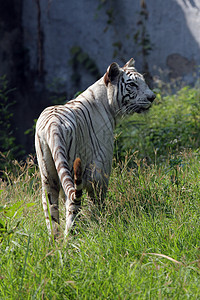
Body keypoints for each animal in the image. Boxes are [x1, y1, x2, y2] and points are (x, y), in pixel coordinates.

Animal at [35, 58, 155, 237]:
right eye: (133, 84)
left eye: (144, 81)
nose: (152, 97)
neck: (108, 105)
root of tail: (53, 124)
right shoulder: (100, 171)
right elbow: (98, 202)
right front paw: (101, 222)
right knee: (72, 204)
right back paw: (69, 238)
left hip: (48, 177)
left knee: (51, 211)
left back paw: (55, 242)